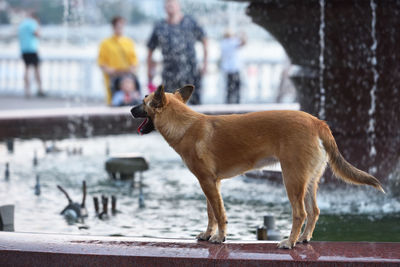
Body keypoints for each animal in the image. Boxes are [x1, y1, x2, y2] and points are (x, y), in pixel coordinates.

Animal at [130, 85, 384, 249]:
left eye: (143, 101)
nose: (130, 110)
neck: (185, 124)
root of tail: (317, 123)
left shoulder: (208, 182)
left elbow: (219, 214)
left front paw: (220, 237)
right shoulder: (211, 183)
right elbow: (211, 212)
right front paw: (208, 234)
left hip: (292, 179)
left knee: (300, 213)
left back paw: (290, 242)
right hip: (309, 181)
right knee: (314, 212)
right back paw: (303, 239)